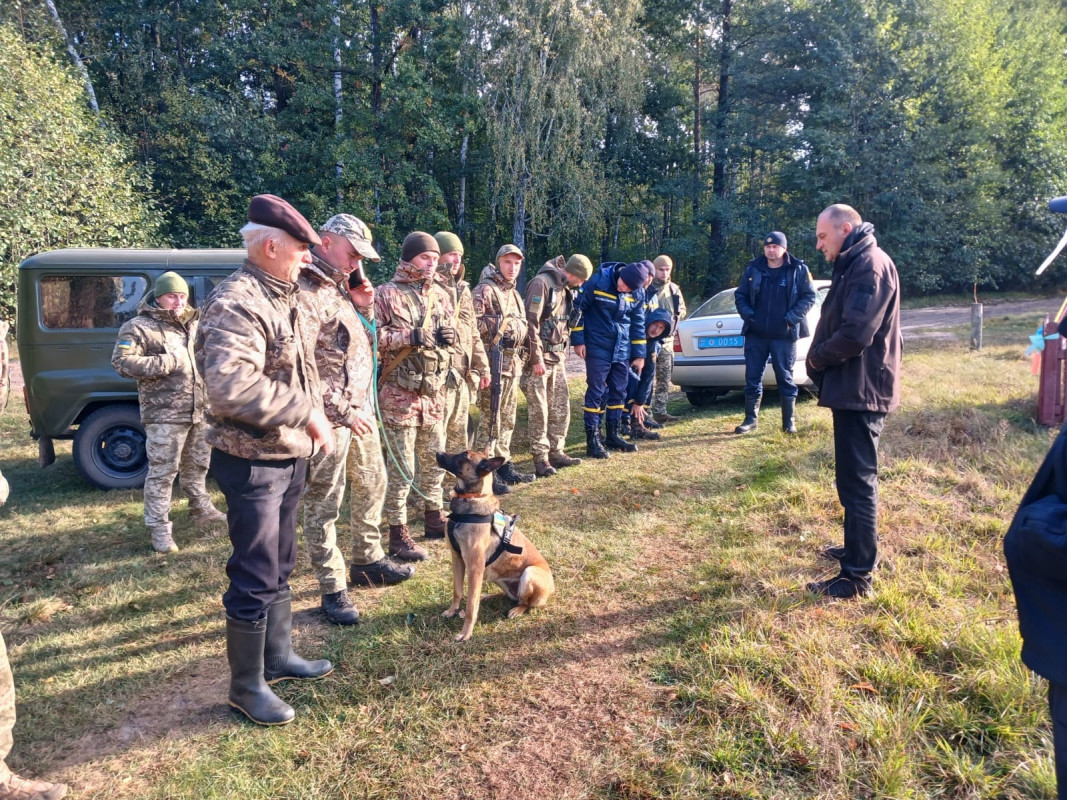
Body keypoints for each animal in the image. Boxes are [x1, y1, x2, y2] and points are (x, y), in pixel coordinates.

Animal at [433, 454, 554, 644]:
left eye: (464, 456)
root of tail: (553, 587)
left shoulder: (474, 567)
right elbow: (457, 591)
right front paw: (453, 611)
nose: (438, 453)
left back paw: (516, 610)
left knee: (524, 602)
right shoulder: (457, 559)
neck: (471, 499)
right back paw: (486, 596)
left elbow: (471, 607)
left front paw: (466, 633)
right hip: (498, 579)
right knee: (509, 596)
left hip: (529, 573)